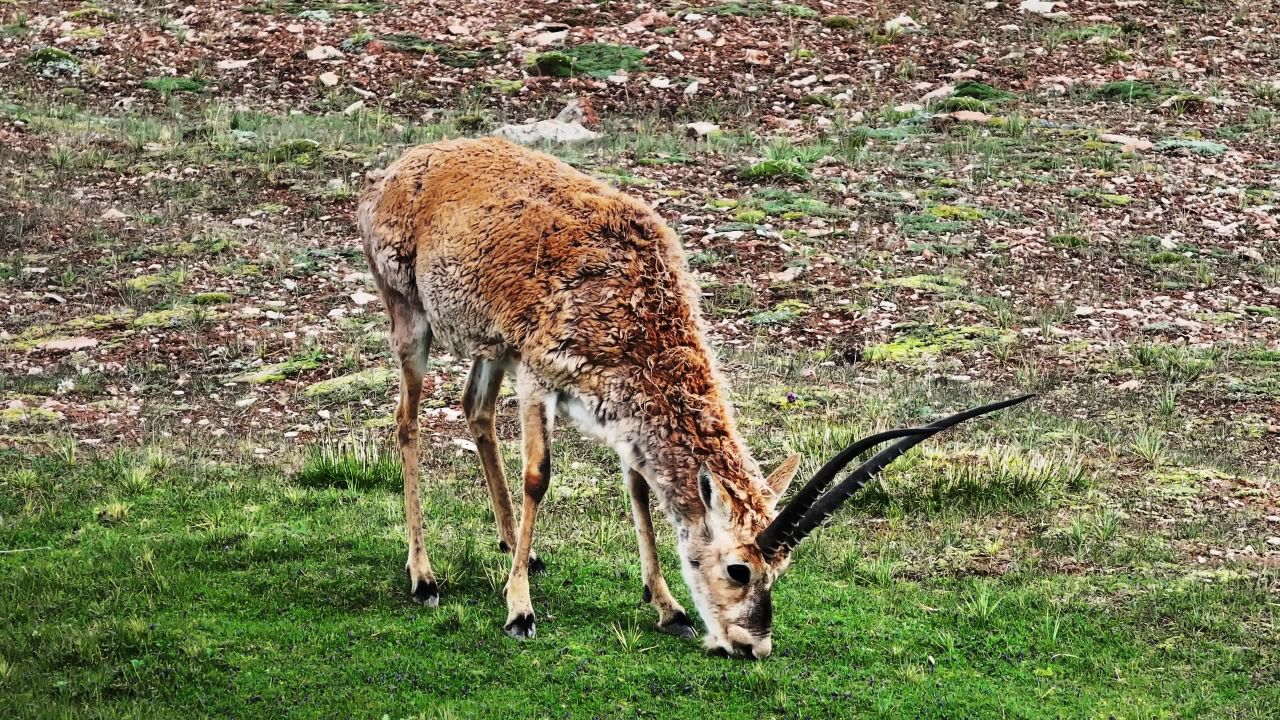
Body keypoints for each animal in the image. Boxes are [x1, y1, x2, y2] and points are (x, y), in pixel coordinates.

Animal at [358, 135, 1029, 655]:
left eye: (780, 569)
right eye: (739, 567)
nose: (753, 644)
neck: (634, 303)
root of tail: (396, 173)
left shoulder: (615, 413)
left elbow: (637, 487)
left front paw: (668, 608)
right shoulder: (539, 376)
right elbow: (539, 477)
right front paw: (519, 610)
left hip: (489, 345)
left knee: (473, 409)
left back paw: (511, 547)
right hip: (411, 318)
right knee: (407, 422)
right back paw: (425, 576)